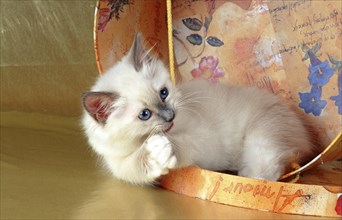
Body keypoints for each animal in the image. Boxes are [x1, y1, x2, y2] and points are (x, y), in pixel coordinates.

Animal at [81, 33, 316, 185]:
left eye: (164, 93)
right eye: (144, 115)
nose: (170, 116)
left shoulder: (205, 140)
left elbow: (182, 143)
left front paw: (163, 147)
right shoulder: (119, 164)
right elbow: (136, 165)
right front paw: (154, 153)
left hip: (262, 136)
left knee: (267, 171)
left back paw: (247, 175)